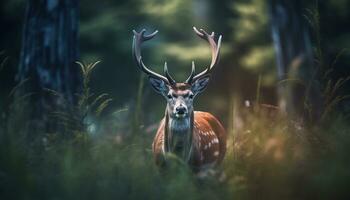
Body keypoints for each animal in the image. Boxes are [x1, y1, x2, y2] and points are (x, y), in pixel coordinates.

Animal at [132, 27, 227, 173]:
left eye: (191, 95)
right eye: (169, 95)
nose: (181, 108)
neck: (178, 159)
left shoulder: (197, 169)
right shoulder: (159, 168)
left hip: (218, 164)